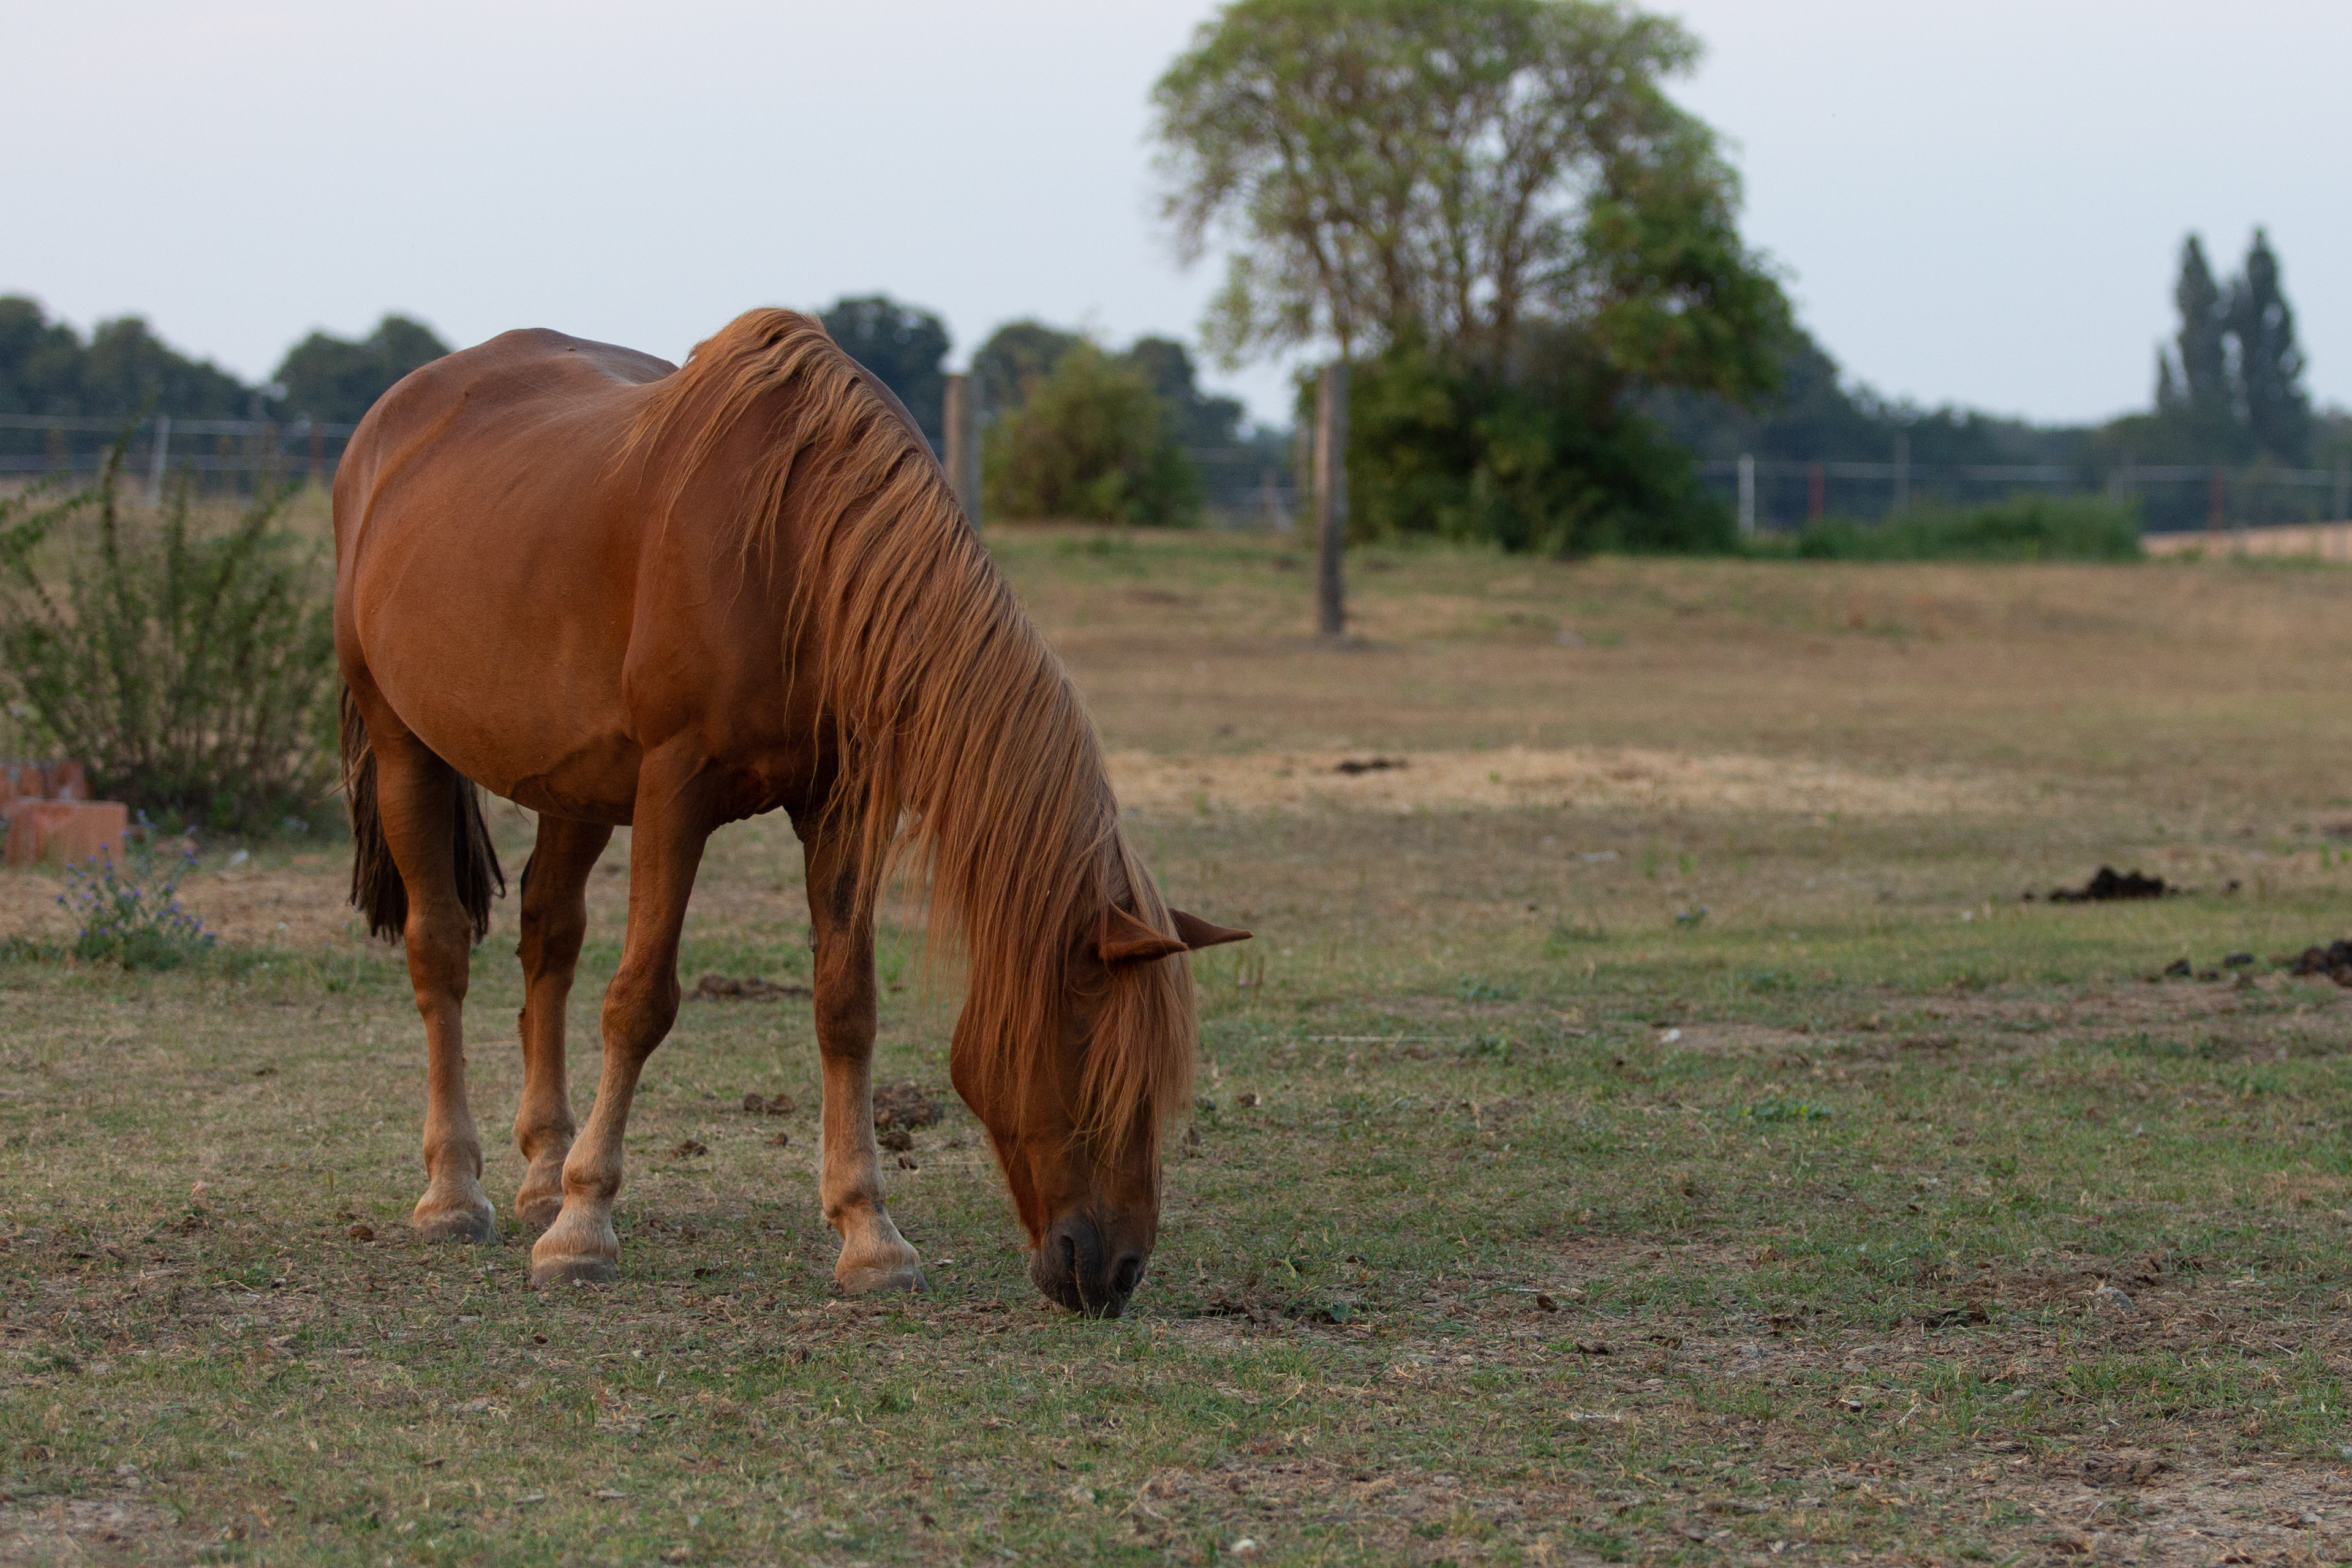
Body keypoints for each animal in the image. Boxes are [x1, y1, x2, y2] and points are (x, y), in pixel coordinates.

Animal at [332, 308, 1247, 1316]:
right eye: (1100, 1070)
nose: (1116, 1271)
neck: (796, 553)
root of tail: (390, 421)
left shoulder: (840, 805)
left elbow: (846, 1007)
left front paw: (870, 1234)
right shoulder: (675, 787)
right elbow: (639, 1002)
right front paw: (583, 1228)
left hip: (572, 783)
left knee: (550, 937)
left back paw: (541, 1172)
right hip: (404, 746)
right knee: (442, 950)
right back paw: (457, 1191)